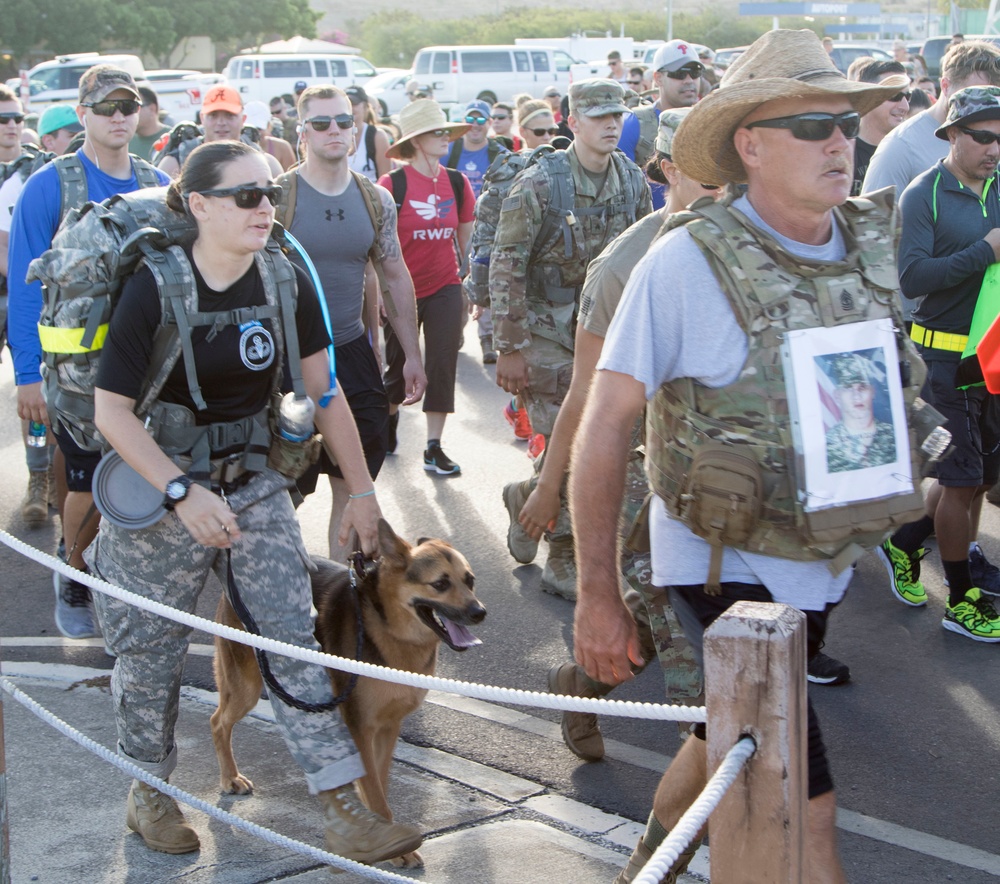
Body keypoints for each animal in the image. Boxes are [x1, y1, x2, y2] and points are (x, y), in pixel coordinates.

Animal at [211, 520, 484, 868]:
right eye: (439, 583)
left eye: (470, 580)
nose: (480, 612)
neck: (387, 625)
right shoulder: (360, 728)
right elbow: (377, 794)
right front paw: (396, 848)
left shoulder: (388, 728)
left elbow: (379, 784)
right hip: (247, 686)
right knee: (218, 722)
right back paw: (229, 777)